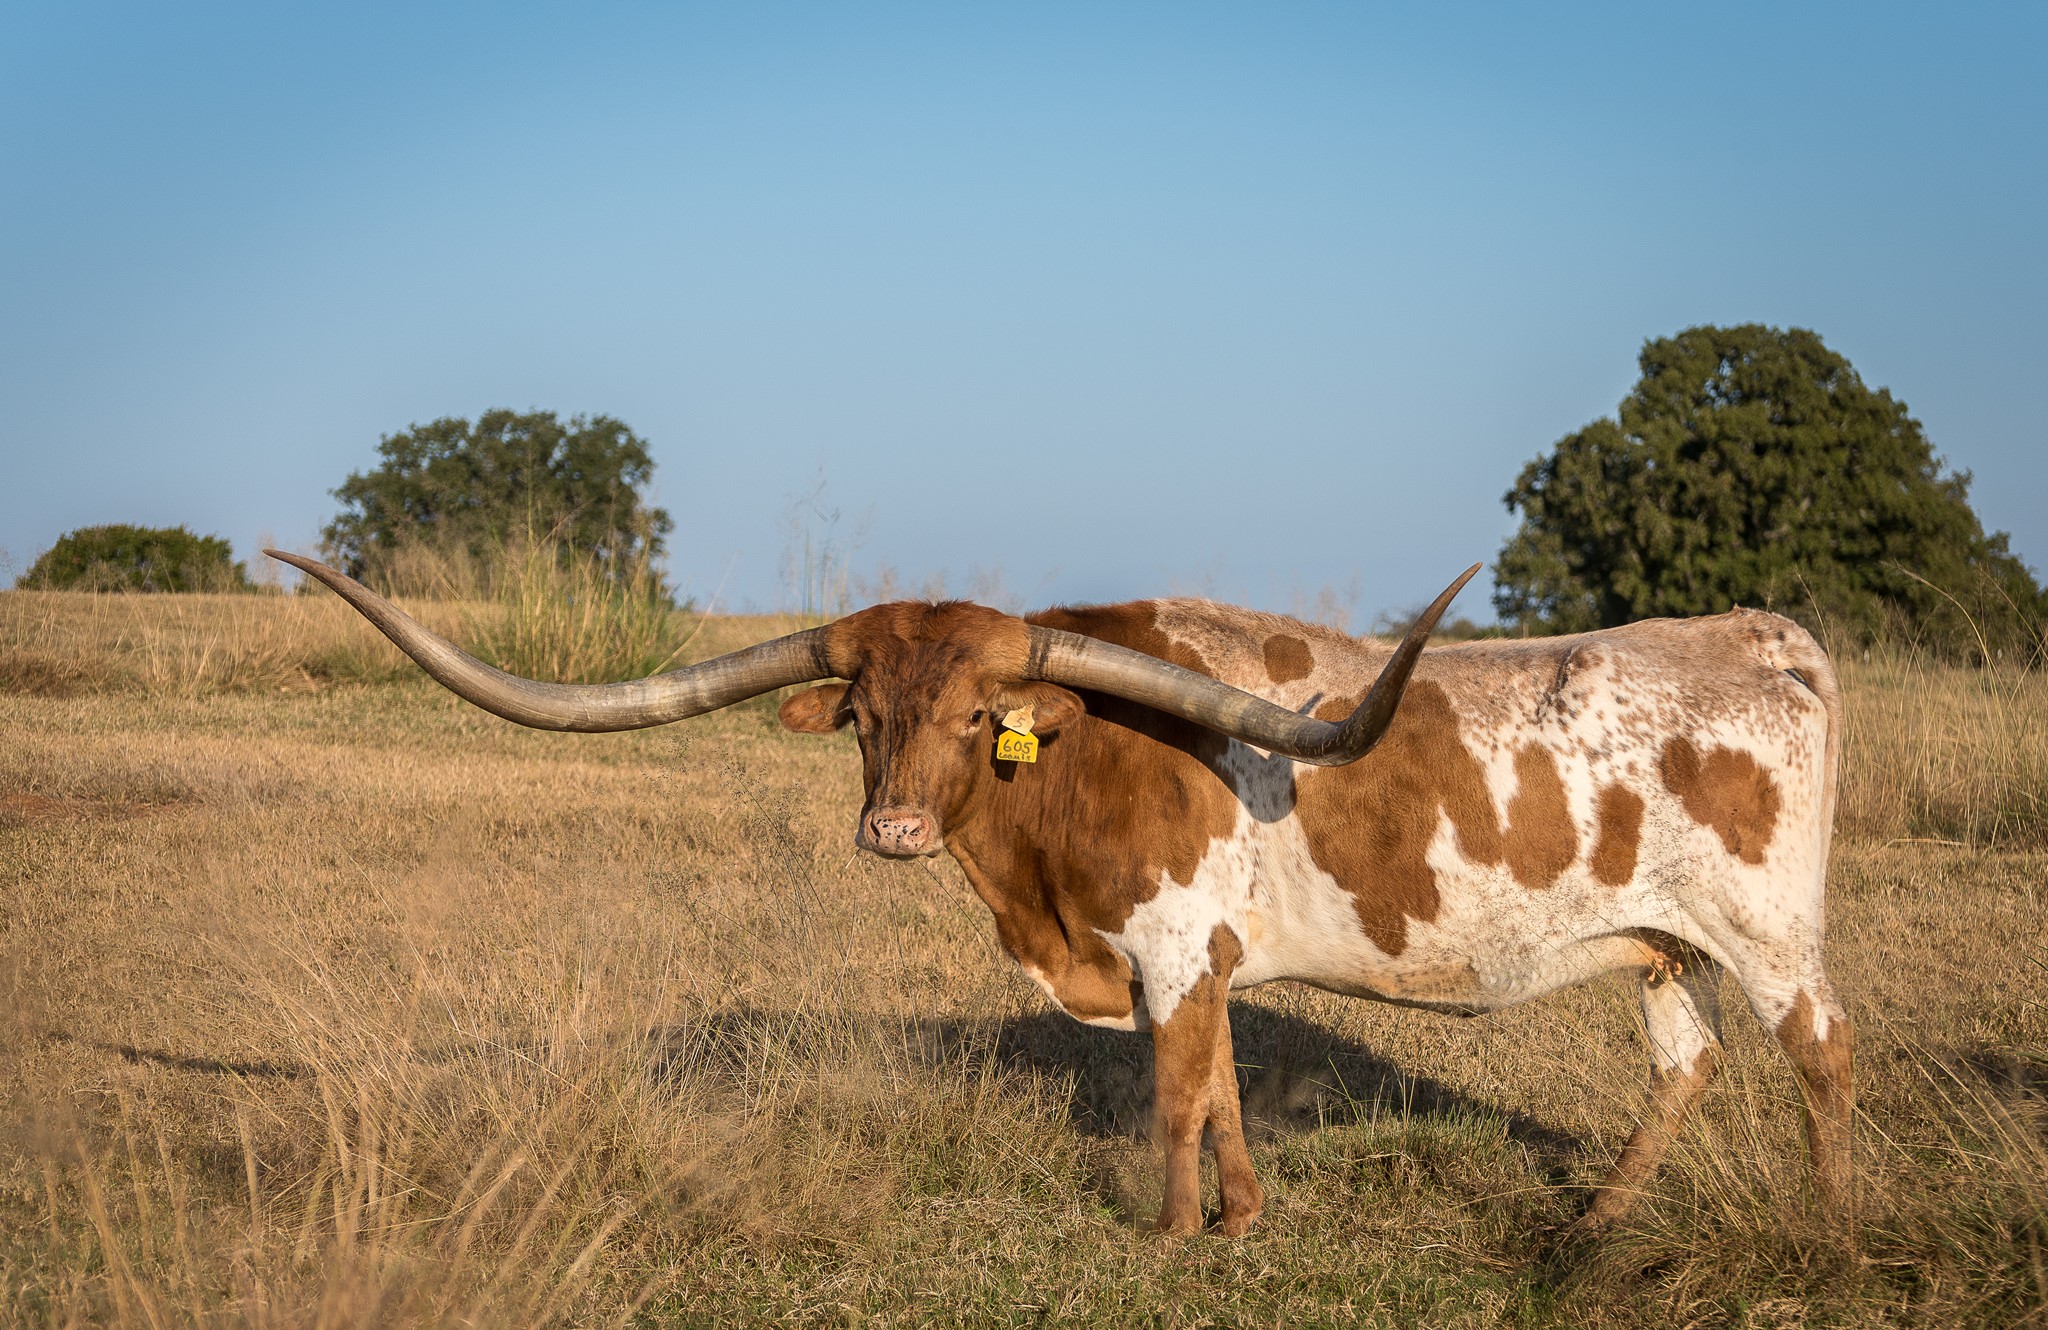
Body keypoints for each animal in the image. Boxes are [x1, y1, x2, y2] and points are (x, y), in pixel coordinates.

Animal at [270, 550, 1851, 1238]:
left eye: (982, 715)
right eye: (861, 713)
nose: (895, 826)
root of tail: (1759, 631)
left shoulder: (1176, 942)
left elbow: (1176, 1091)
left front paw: (1170, 1236)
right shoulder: (1200, 954)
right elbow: (1220, 1085)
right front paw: (1240, 1217)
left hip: (1769, 935)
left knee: (1821, 1053)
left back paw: (1828, 1231)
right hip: (1661, 944)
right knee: (1689, 1062)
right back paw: (1588, 1232)